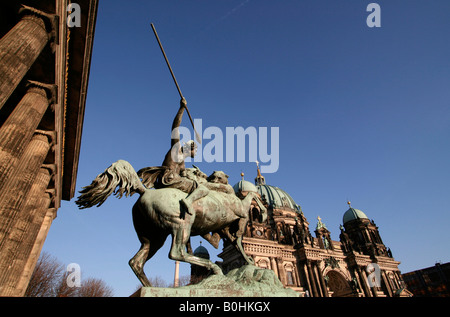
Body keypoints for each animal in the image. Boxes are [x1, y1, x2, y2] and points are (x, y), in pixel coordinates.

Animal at [75, 159, 266, 286]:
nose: (210, 178)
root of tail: (145, 191)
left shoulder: (226, 229)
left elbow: (237, 244)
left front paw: (249, 261)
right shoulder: (241, 210)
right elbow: (251, 197)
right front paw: (263, 212)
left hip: (153, 239)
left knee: (136, 262)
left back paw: (151, 288)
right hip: (181, 225)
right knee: (176, 252)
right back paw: (213, 268)